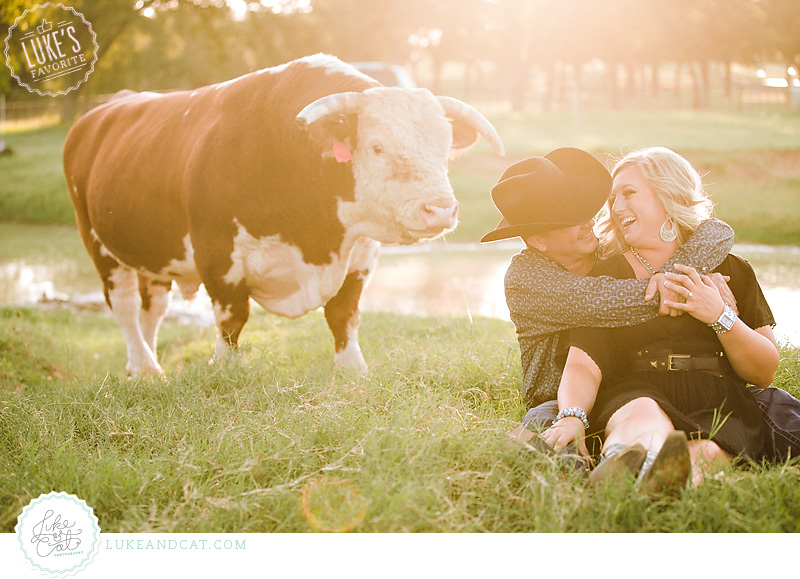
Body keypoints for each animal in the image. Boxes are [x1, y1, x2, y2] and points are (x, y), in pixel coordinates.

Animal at [63, 54, 505, 377]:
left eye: (445, 145)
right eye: (377, 146)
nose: (440, 208)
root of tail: (106, 108)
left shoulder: (360, 254)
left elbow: (344, 314)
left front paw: (352, 369)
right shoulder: (218, 257)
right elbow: (232, 318)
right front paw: (223, 368)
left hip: (154, 255)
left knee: (151, 311)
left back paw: (150, 364)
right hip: (98, 243)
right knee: (123, 307)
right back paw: (143, 367)